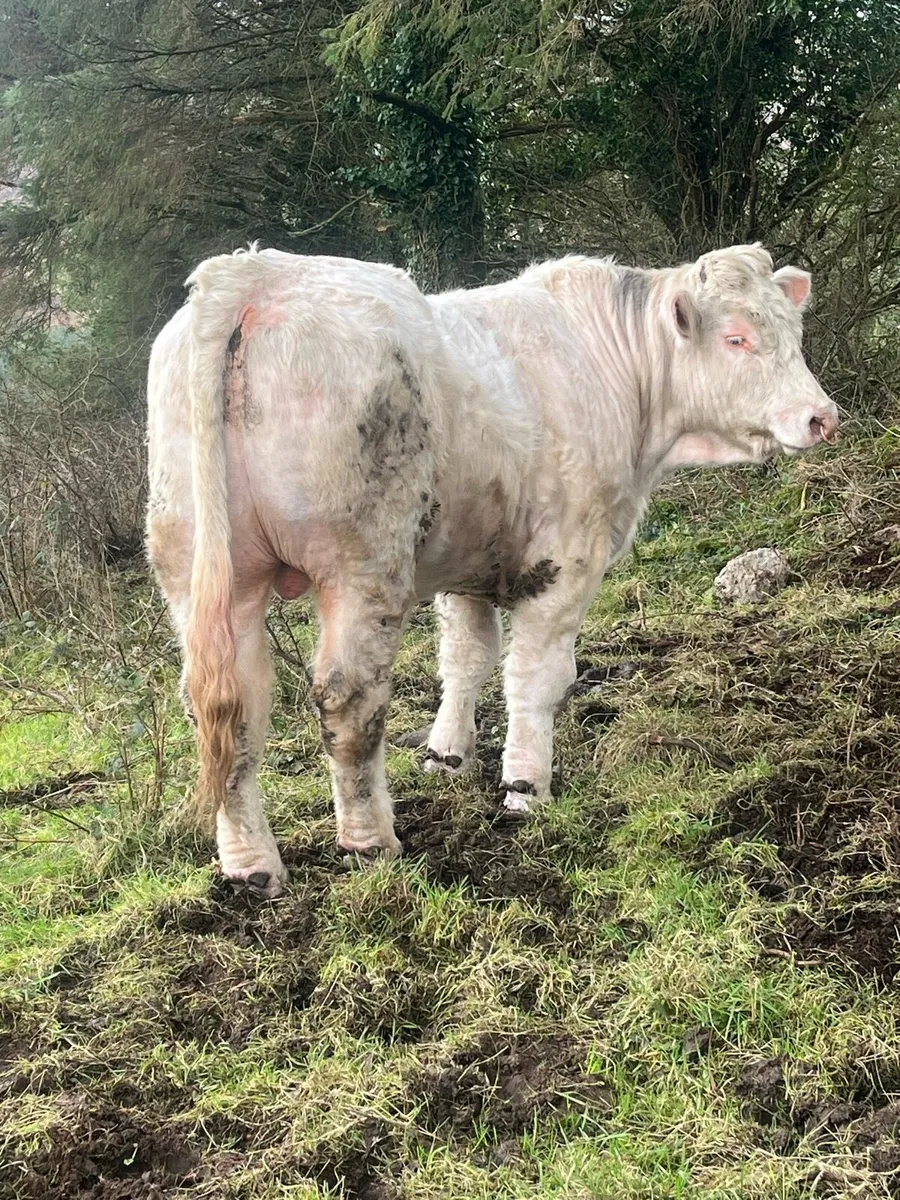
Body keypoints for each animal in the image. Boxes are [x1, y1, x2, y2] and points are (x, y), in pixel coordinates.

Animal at [146, 243, 838, 897]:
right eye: (737, 338)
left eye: (794, 332)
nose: (822, 417)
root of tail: (252, 275)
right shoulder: (567, 556)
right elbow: (536, 677)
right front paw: (526, 788)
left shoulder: (466, 564)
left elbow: (467, 658)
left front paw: (445, 757)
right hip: (362, 563)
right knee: (348, 701)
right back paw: (370, 841)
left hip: (202, 572)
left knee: (229, 710)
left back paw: (251, 865)